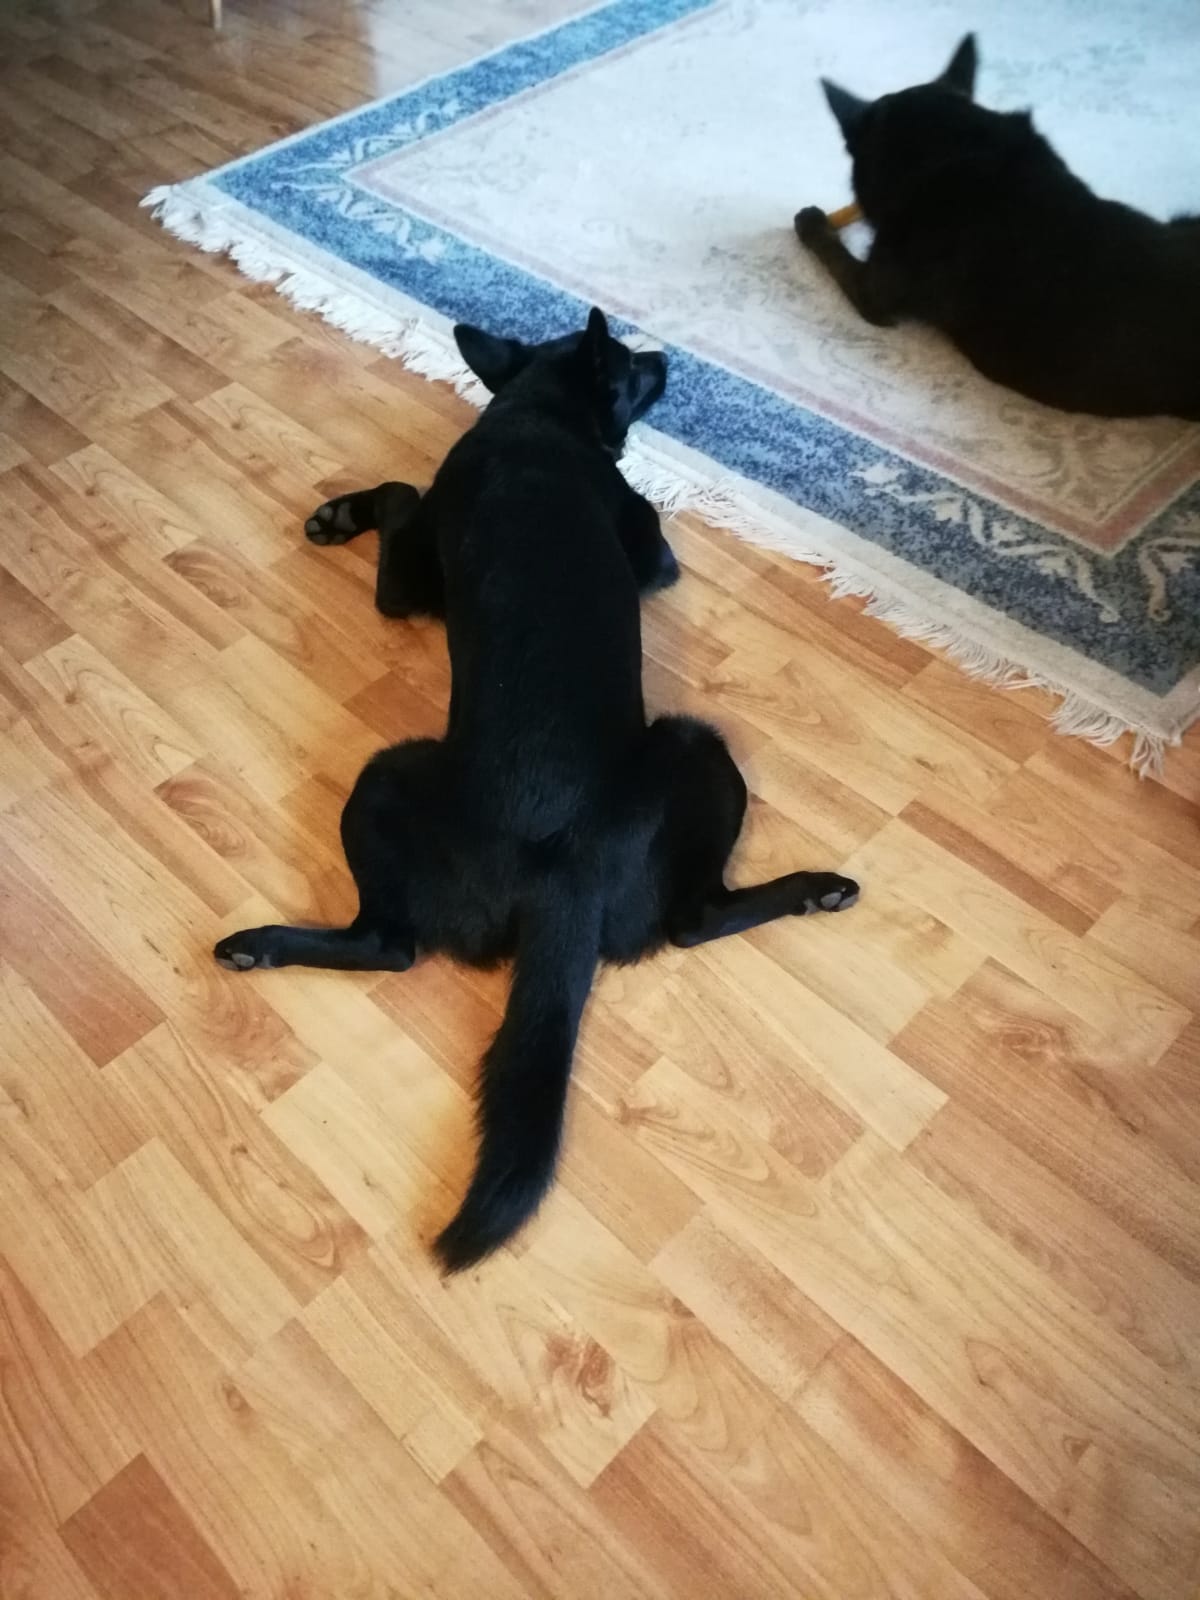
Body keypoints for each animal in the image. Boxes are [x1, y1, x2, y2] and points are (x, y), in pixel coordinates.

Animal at [214, 308, 860, 1271]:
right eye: (629, 367)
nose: (669, 357)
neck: (533, 413)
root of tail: (561, 875)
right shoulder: (648, 550)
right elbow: (405, 487)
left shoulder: (407, 586)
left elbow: (405, 498)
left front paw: (340, 511)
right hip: (693, 749)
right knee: (689, 918)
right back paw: (817, 889)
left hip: (377, 785)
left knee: (390, 943)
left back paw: (260, 946)